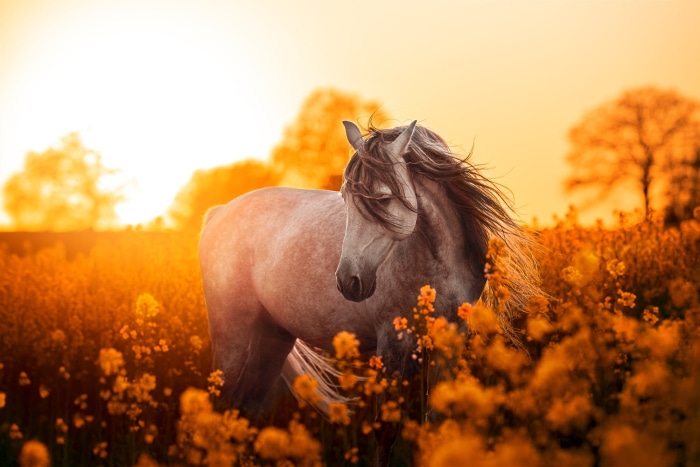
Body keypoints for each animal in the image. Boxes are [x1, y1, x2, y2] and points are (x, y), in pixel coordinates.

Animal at [199, 120, 540, 463]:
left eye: (384, 199)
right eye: (346, 197)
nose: (349, 281)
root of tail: (219, 212)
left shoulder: (450, 339)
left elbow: (436, 421)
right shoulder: (392, 340)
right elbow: (386, 430)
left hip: (273, 337)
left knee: (246, 408)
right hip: (232, 336)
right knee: (223, 405)